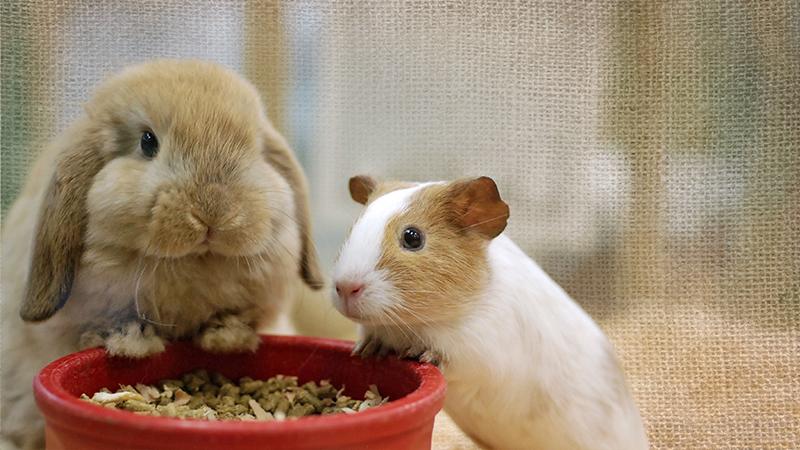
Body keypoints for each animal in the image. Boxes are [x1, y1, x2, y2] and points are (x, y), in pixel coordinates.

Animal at [0, 59, 324, 449]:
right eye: (147, 141)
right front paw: (132, 344)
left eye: (255, 148)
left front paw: (226, 338)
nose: (214, 210)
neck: (193, 264)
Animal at [331, 175, 649, 450]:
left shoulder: (479, 351)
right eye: (353, 228)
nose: (345, 287)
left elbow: (442, 355)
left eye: (412, 237)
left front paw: (419, 354)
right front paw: (368, 350)